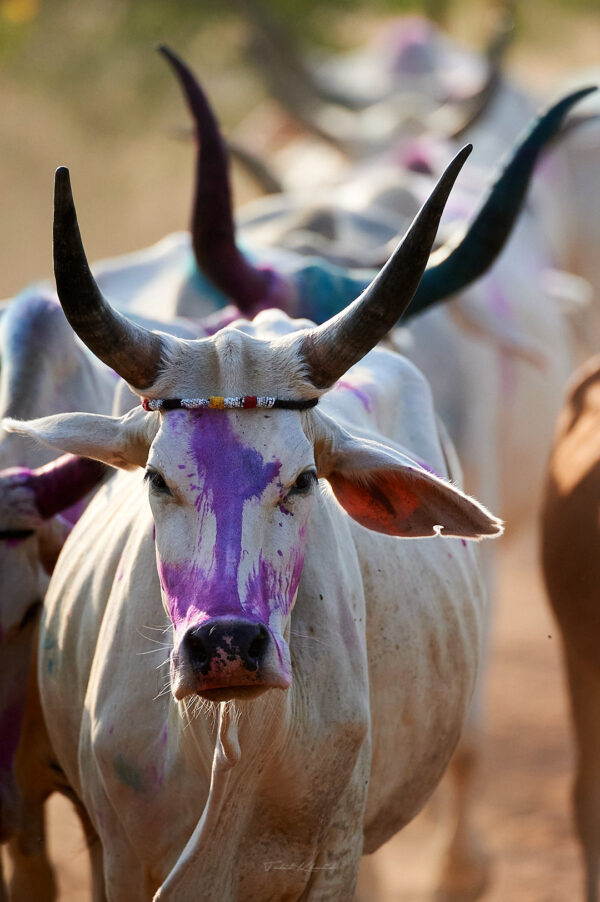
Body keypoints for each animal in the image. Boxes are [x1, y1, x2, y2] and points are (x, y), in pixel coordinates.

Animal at [3, 147, 502, 896]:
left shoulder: (334, 862)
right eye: (156, 478)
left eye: (304, 479)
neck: (224, 733)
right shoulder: (119, 856)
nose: (227, 645)